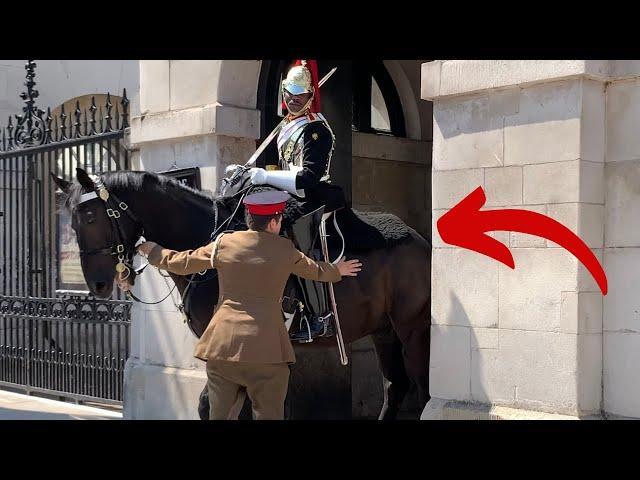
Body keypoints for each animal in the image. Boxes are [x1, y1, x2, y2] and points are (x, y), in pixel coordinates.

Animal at [50, 168, 430, 420]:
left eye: (89, 216)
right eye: (71, 220)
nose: (99, 284)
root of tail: (419, 239)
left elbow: (219, 403)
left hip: (413, 330)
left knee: (422, 387)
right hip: (384, 331)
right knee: (395, 386)